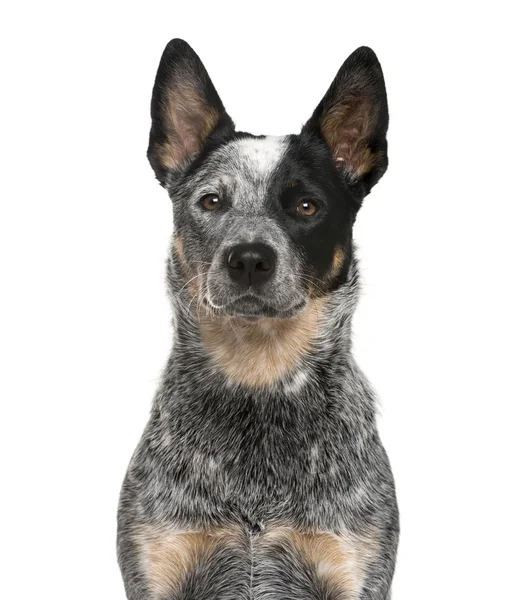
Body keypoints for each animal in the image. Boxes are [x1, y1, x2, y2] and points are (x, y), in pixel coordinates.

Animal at [118, 38, 398, 600]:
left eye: (307, 206)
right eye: (211, 201)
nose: (248, 258)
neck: (258, 378)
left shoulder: (356, 566)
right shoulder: (158, 563)